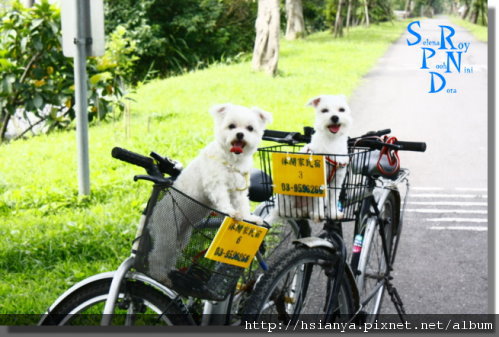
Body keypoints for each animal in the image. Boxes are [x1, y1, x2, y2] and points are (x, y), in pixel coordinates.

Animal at [147, 103, 274, 284]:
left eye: (250, 128)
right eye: (231, 126)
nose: (240, 134)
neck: (231, 160)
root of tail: (154, 216)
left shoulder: (238, 189)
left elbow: (242, 205)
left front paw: (248, 218)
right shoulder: (216, 184)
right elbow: (223, 200)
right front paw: (230, 212)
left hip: (181, 236)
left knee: (170, 256)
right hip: (168, 234)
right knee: (157, 256)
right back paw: (159, 275)